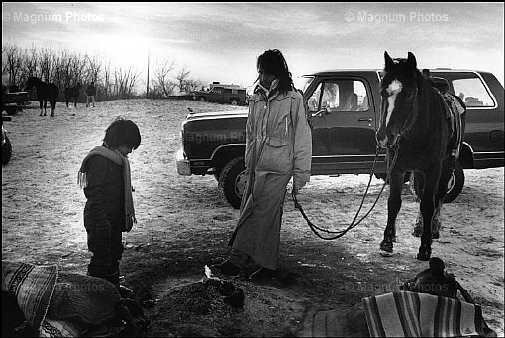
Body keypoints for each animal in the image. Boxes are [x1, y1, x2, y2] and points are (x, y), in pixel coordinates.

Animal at [374, 52, 456, 262]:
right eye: (382, 92)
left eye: (410, 93)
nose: (384, 136)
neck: (415, 133)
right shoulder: (395, 167)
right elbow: (394, 202)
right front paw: (387, 241)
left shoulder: (433, 169)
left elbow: (429, 204)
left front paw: (426, 247)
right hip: (418, 172)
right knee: (420, 194)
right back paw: (418, 227)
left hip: (446, 167)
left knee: (439, 197)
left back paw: (434, 228)